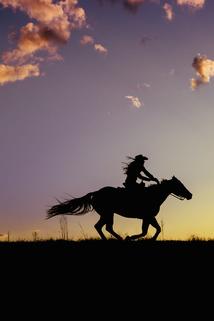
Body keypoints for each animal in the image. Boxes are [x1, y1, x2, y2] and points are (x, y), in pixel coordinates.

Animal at [46, 175, 192, 240]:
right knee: (105, 227)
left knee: (100, 227)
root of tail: (95, 193)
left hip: (106, 214)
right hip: (108, 213)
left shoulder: (148, 217)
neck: (153, 195)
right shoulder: (148, 217)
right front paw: (131, 238)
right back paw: (120, 239)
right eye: (179, 185)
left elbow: (153, 229)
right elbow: (150, 231)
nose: (190, 195)